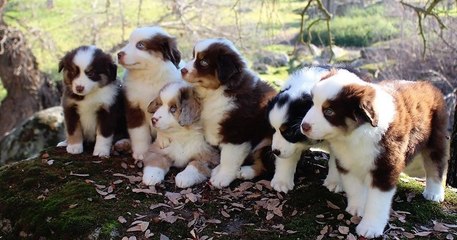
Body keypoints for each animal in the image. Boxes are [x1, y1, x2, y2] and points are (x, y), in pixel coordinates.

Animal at [116, 26, 183, 161]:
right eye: (129, 42)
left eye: (140, 45)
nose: (118, 54)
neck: (148, 75)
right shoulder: (133, 106)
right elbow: (139, 132)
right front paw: (141, 152)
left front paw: (162, 140)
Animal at [180, 38, 276, 188]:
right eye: (193, 56)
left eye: (204, 62)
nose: (182, 70)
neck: (218, 91)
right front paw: (219, 170)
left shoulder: (236, 133)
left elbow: (229, 158)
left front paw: (222, 177)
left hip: (268, 142)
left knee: (265, 165)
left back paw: (245, 172)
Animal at [302, 68, 448, 239]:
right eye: (312, 103)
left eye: (329, 111)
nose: (304, 126)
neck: (352, 136)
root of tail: (426, 84)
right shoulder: (346, 162)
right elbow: (354, 187)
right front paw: (357, 208)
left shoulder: (385, 166)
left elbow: (377, 202)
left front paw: (369, 227)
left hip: (436, 137)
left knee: (436, 164)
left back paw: (434, 193)